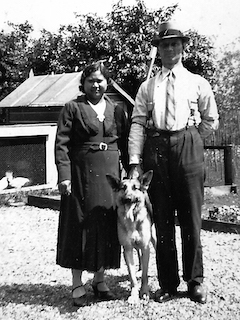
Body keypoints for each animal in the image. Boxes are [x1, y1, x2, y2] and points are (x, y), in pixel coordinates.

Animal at [106, 169, 156, 304]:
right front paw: (134, 295)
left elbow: (145, 275)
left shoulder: (145, 247)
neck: (133, 220)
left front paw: (144, 292)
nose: (128, 199)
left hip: (154, 239)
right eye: (123, 188)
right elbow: (132, 276)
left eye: (135, 188)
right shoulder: (127, 249)